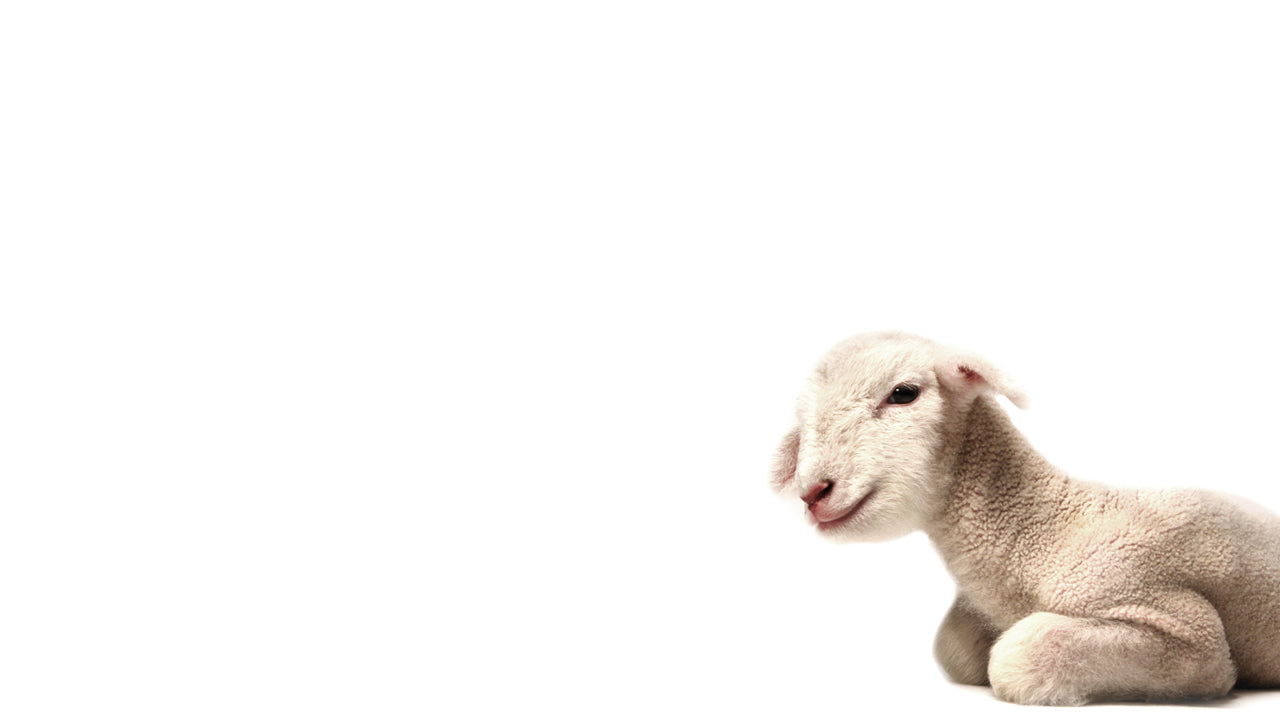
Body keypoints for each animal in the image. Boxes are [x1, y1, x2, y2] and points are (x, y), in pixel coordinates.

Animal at [770, 331, 1280, 705]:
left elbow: (1016, 655)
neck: (1045, 531)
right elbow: (955, 650)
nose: (813, 492)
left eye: (903, 394)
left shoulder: (1179, 623)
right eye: (803, 418)